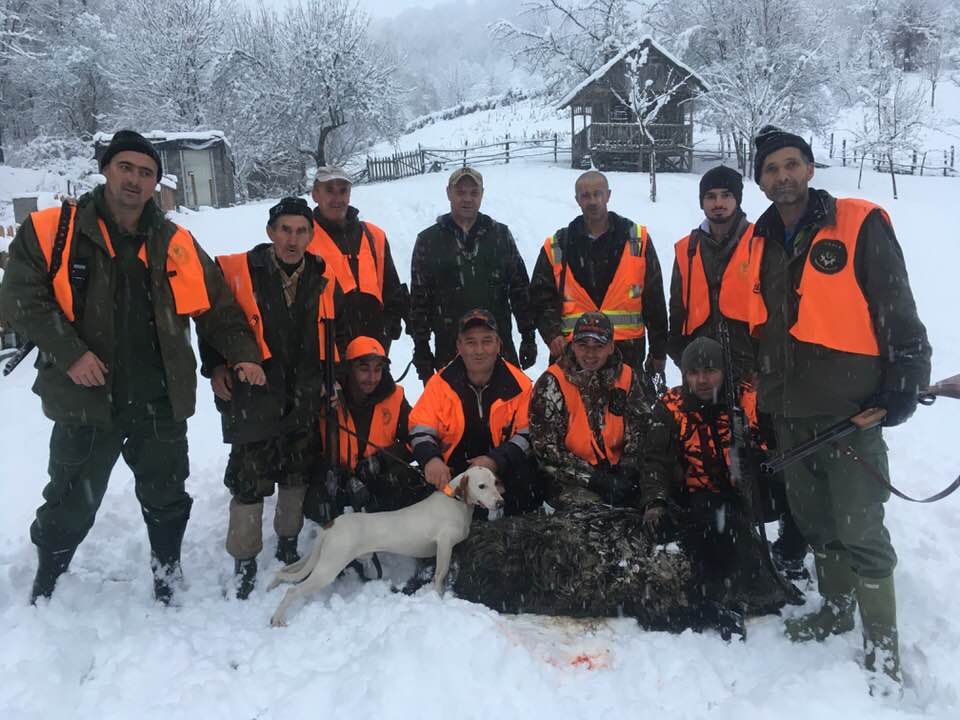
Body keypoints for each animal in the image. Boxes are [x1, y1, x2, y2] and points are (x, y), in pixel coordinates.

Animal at [268, 466, 502, 624]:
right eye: (481, 486)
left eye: (495, 482)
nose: (500, 502)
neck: (455, 502)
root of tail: (332, 524)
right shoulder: (444, 546)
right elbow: (440, 575)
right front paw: (438, 598)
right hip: (328, 568)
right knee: (293, 590)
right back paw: (277, 618)